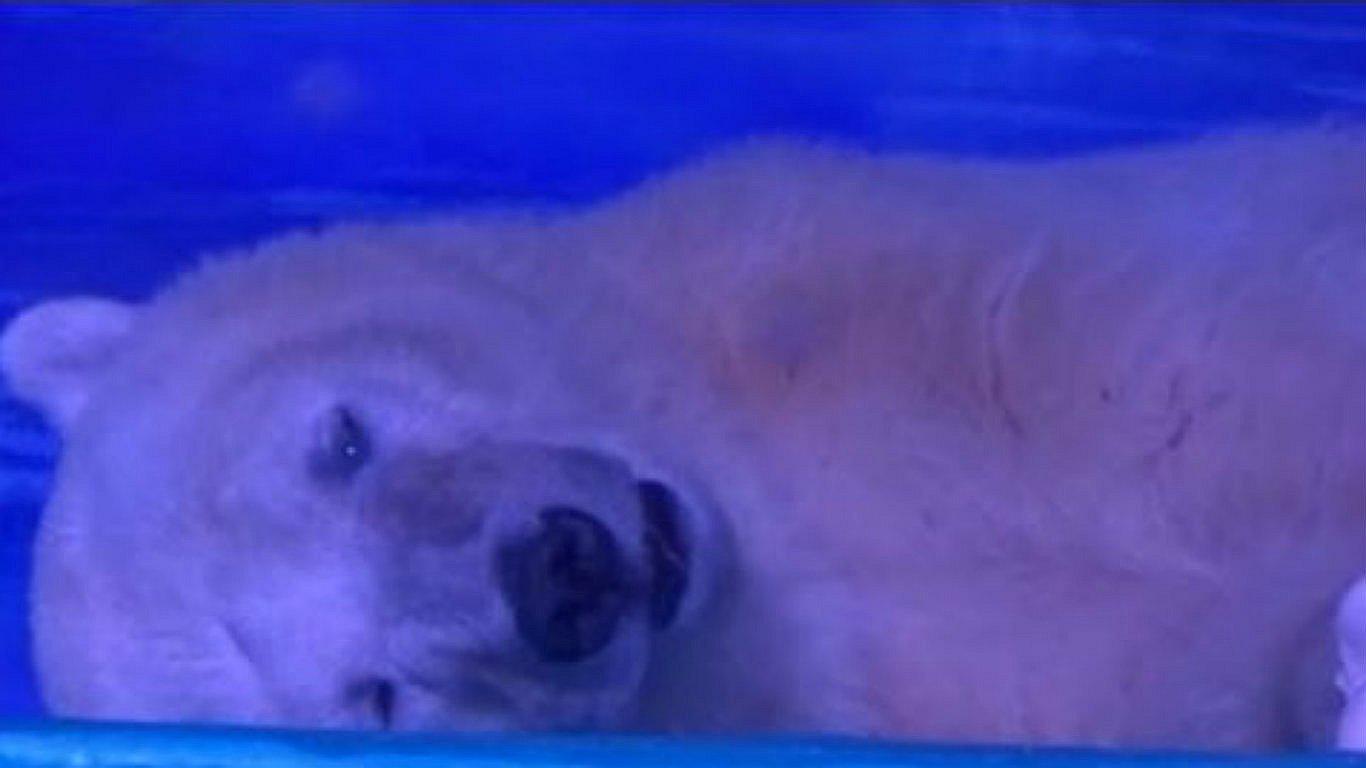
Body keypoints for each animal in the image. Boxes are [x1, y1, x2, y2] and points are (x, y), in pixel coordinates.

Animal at [2, 127, 1365, 750]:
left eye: (341, 441)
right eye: (374, 696)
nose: (561, 573)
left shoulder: (893, 294)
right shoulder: (964, 691)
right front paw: (1345, 670)